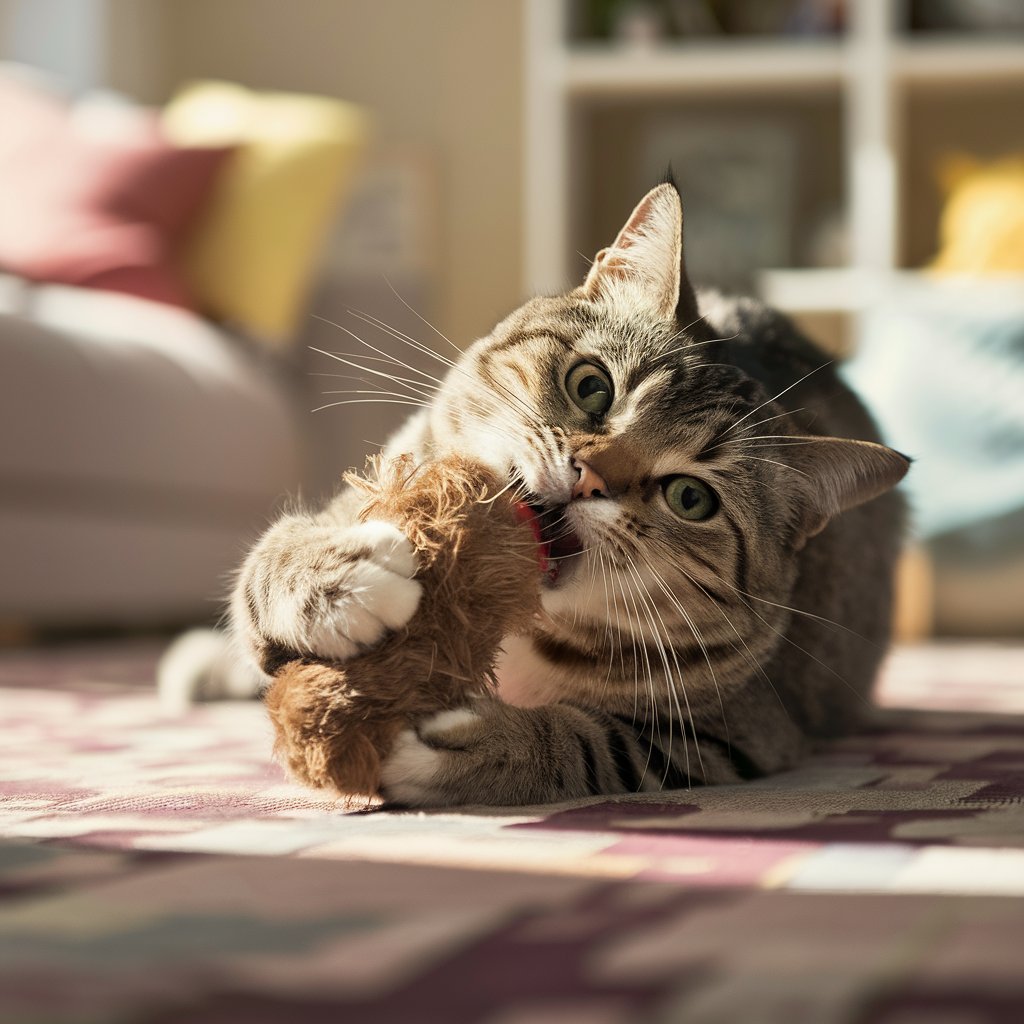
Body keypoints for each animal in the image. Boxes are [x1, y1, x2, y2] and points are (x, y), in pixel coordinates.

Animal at [161, 184, 913, 806]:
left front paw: (467, 742)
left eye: (691, 499)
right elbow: (275, 550)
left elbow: (591, 743)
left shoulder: (739, 735)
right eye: (592, 386)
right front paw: (337, 578)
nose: (590, 476)